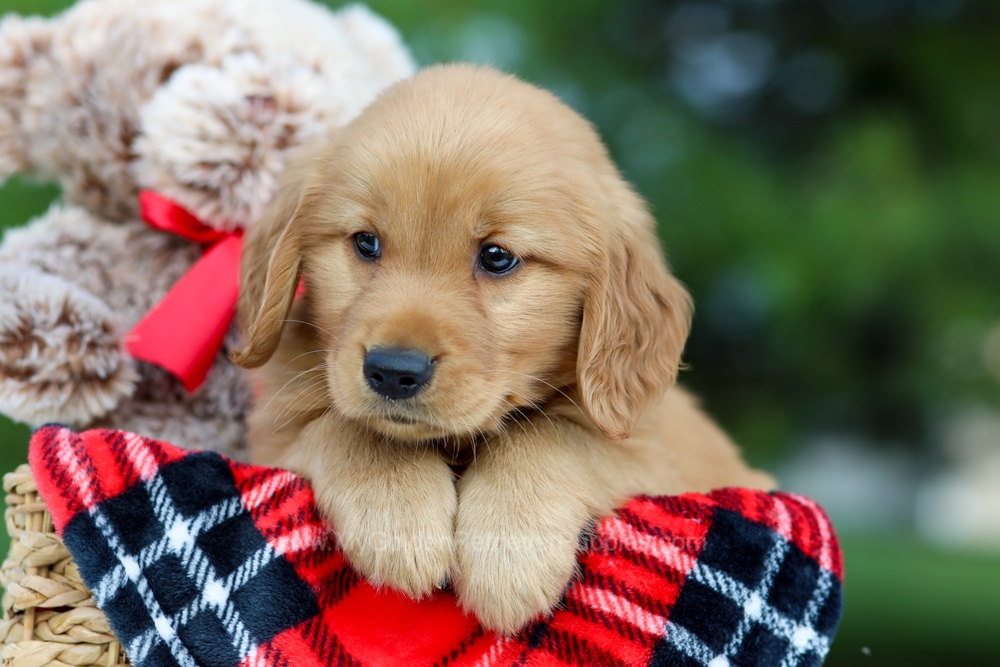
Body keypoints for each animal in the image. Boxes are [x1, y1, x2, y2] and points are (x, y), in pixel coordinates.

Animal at [234, 65, 772, 636]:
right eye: (365, 242)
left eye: (497, 257)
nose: (393, 371)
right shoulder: (271, 439)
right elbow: (346, 425)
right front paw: (397, 513)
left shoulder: (658, 455)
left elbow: (552, 434)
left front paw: (509, 550)